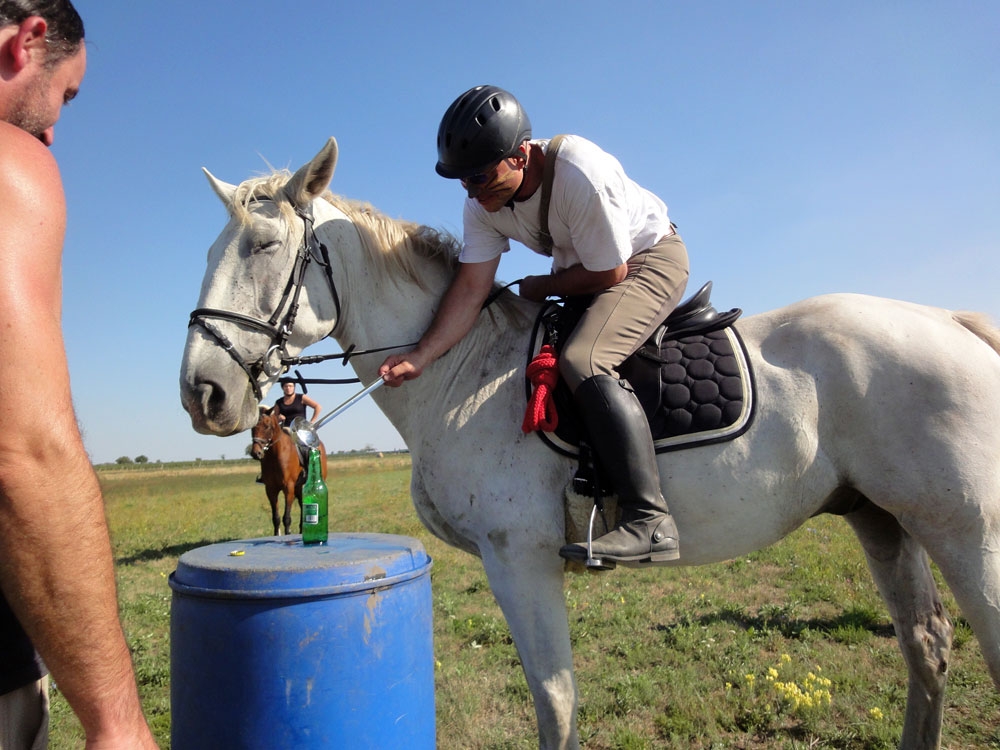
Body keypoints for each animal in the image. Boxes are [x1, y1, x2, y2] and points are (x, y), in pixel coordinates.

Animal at [252, 408, 330, 536]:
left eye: (267, 426)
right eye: (252, 428)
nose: (256, 453)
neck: (275, 455)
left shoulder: (288, 488)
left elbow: (286, 517)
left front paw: (288, 533)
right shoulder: (270, 489)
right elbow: (276, 518)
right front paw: (276, 534)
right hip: (299, 488)